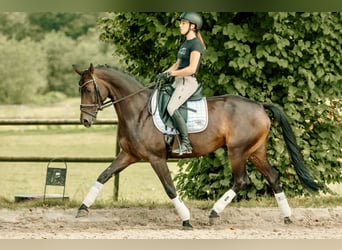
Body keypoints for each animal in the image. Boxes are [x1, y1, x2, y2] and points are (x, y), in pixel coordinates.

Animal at [73, 63, 318, 229]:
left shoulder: (156, 158)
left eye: (88, 90)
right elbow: (104, 175)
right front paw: (82, 208)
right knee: (273, 177)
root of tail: (259, 105)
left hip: (237, 151)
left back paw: (214, 213)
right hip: (255, 151)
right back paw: (287, 217)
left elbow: (169, 188)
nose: (85, 121)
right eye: (80, 89)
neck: (139, 111)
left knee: (241, 180)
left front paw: (186, 219)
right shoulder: (128, 155)